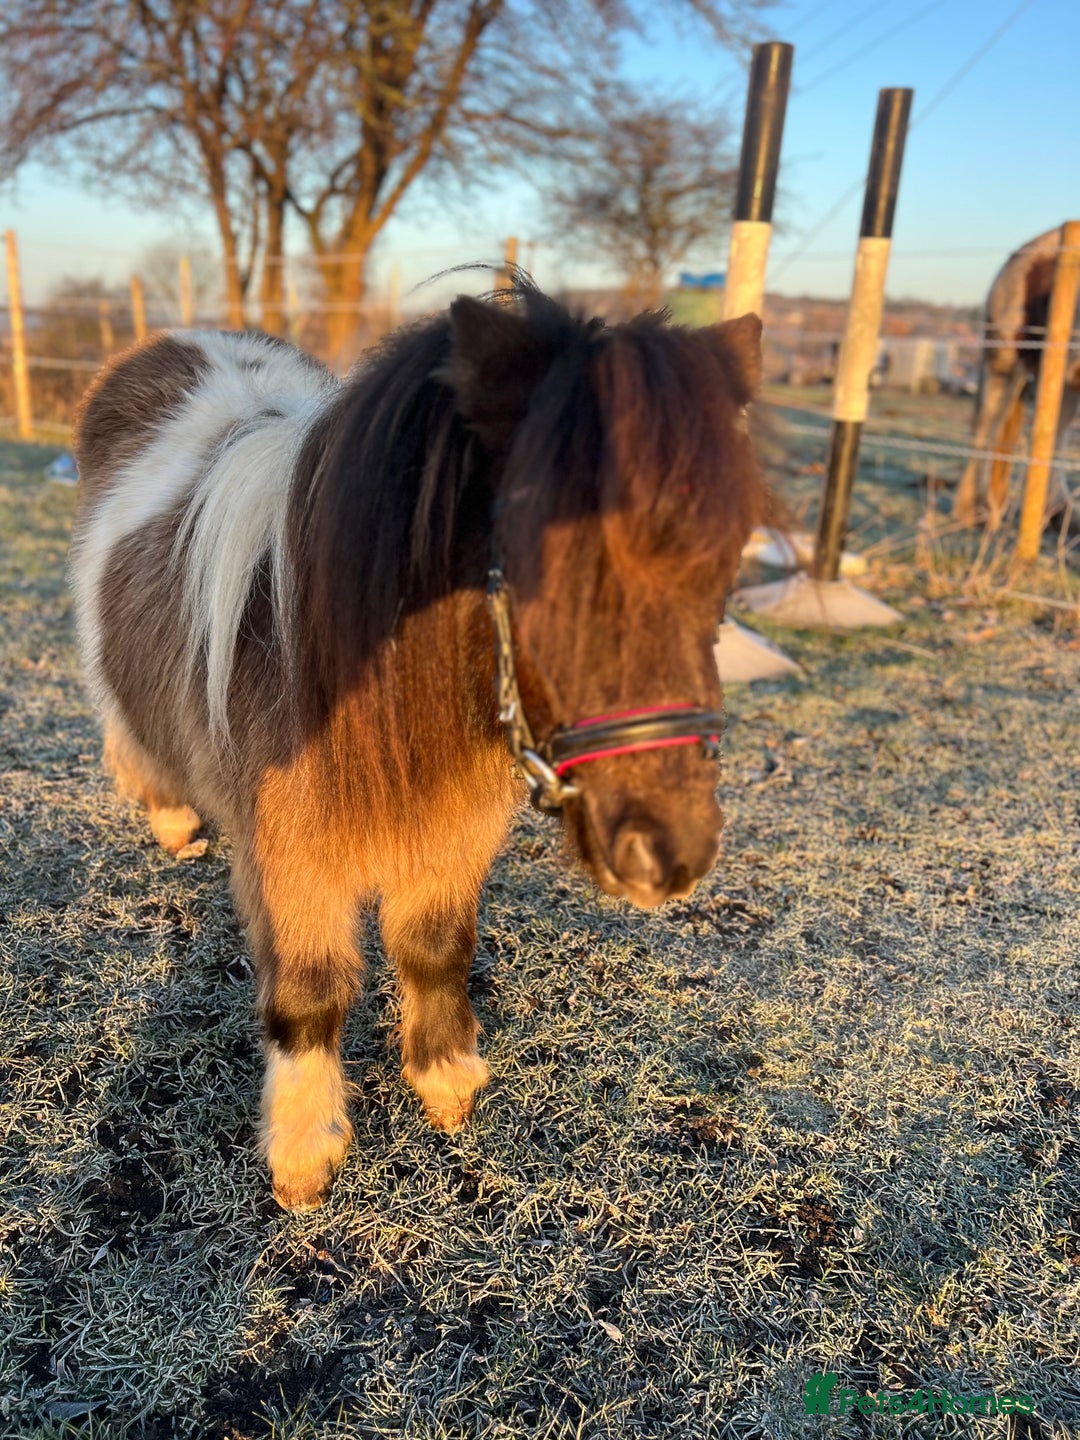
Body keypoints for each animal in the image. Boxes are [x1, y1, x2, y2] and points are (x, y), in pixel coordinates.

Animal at [69, 283, 767, 1210]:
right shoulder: (289, 853)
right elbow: (309, 992)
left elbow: (436, 948)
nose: (673, 853)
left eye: (727, 560)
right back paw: (175, 823)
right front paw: (304, 1154)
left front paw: (445, 1081)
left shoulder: (451, 832)